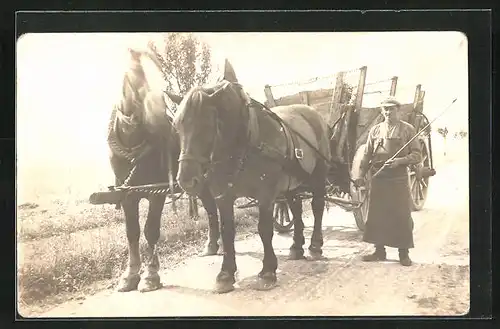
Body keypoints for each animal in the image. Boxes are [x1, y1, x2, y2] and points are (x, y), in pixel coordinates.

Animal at [109, 47, 221, 290]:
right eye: (137, 73)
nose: (160, 122)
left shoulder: (156, 193)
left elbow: (151, 230)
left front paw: (150, 275)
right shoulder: (127, 194)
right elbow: (132, 232)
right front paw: (130, 275)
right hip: (198, 181)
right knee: (210, 206)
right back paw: (212, 245)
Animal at [167, 60, 332, 294]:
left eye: (206, 124)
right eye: (177, 127)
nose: (186, 180)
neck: (244, 143)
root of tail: (313, 114)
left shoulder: (266, 193)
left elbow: (264, 229)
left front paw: (268, 271)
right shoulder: (222, 195)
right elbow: (227, 230)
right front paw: (226, 274)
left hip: (318, 175)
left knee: (317, 207)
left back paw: (315, 245)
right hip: (291, 184)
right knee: (297, 208)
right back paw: (296, 246)